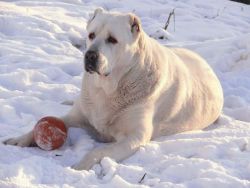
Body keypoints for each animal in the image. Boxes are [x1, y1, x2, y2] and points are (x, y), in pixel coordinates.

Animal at [3, 8, 223, 170]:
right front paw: (18, 140)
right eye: (91, 35)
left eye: (112, 39)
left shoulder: (134, 137)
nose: (90, 55)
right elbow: (50, 121)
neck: (108, 89)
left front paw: (80, 166)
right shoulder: (78, 116)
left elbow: (97, 151)